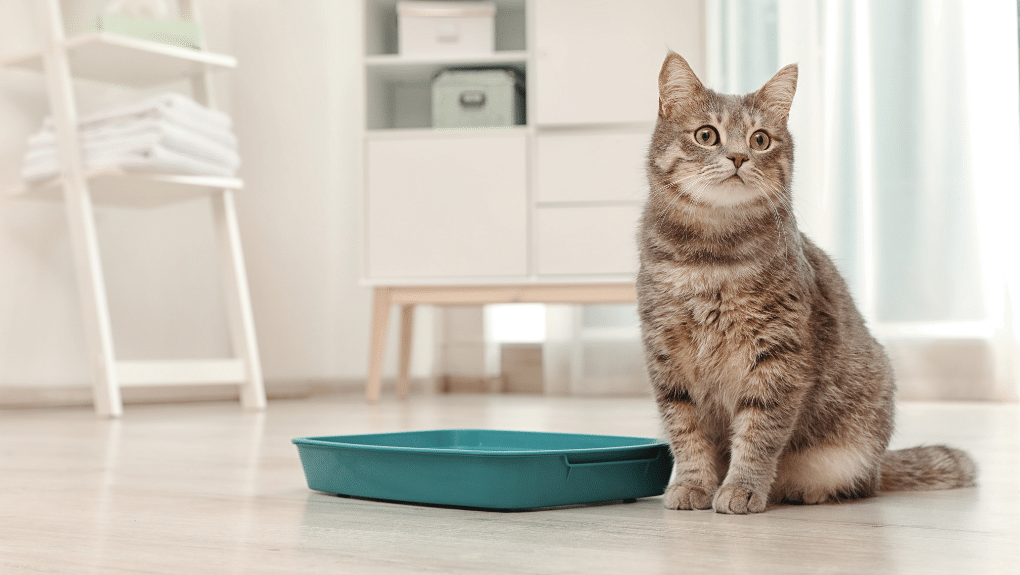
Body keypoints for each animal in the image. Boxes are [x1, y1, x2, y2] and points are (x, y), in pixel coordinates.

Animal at [636, 51, 979, 513]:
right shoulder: (667, 359)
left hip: (853, 446)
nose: (739, 157)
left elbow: (759, 433)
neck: (711, 257)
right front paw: (693, 484)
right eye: (707, 135)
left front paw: (741, 487)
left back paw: (806, 490)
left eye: (761, 140)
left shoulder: (779, 356)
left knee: (856, 484)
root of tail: (879, 465)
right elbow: (686, 431)